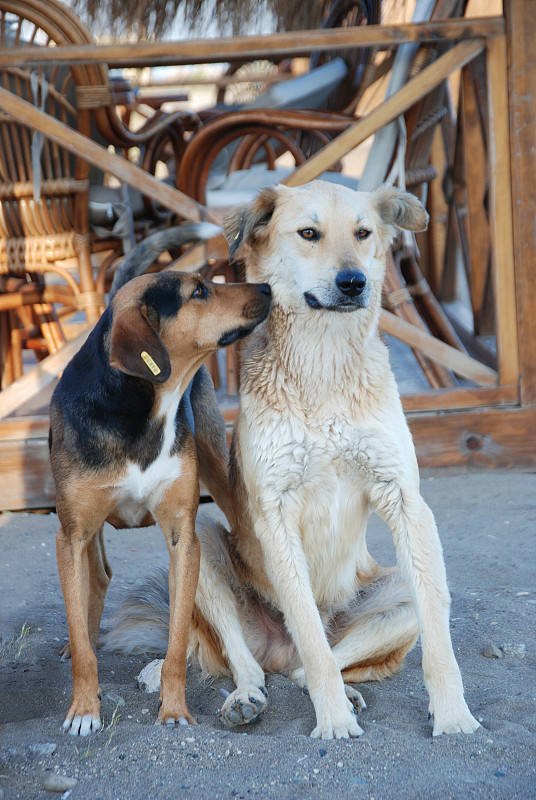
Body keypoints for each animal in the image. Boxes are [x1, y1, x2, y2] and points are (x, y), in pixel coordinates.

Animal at [48, 223, 270, 736]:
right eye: (198, 291)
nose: (269, 288)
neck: (142, 409)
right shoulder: (71, 535)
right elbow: (82, 641)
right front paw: (84, 709)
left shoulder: (182, 537)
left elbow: (176, 642)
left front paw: (174, 709)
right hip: (83, 529)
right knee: (95, 582)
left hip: (220, 475)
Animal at [108, 181, 478, 736]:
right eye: (308, 233)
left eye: (363, 233)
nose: (354, 282)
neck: (323, 367)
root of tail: (277, 652)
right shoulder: (274, 513)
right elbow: (306, 629)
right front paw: (333, 724)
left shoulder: (405, 500)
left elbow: (437, 633)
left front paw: (453, 714)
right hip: (200, 547)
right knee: (257, 662)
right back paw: (246, 696)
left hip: (395, 594)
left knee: (309, 664)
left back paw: (345, 690)